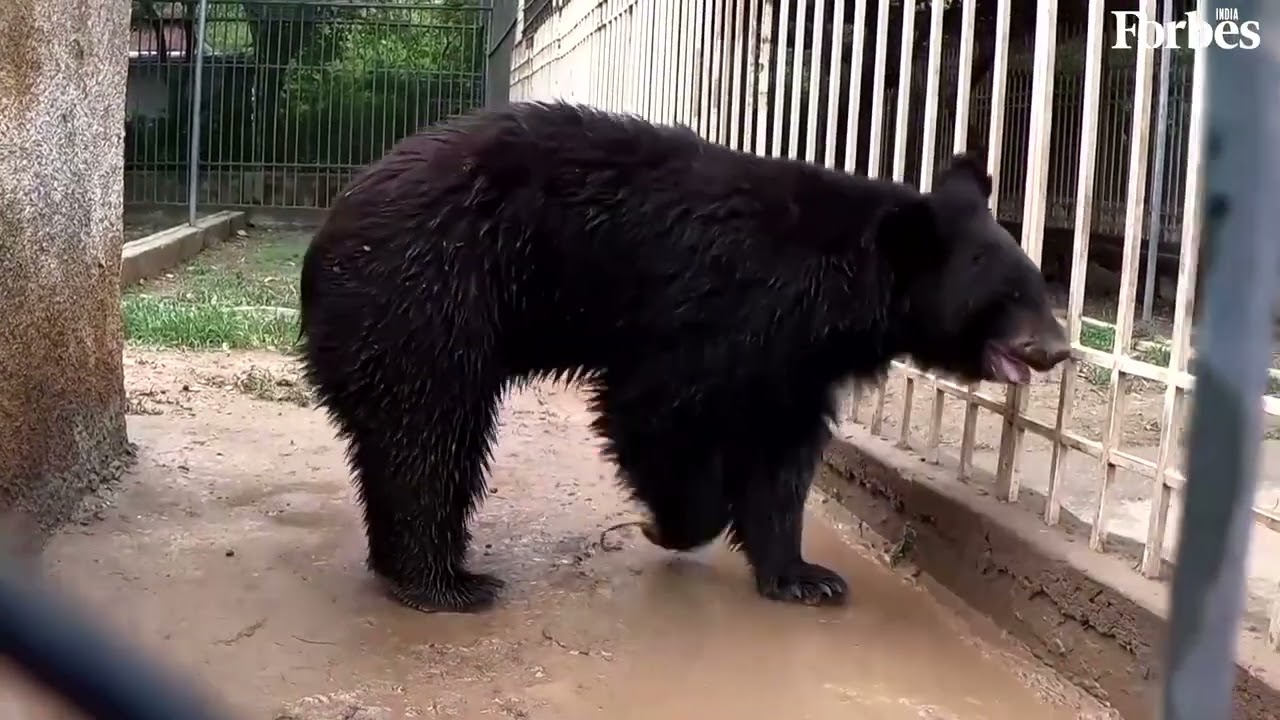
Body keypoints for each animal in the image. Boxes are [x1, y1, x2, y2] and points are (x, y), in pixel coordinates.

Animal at [297, 100, 1071, 614]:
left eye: (1038, 284)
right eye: (1007, 295)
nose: (1059, 349)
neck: (840, 287)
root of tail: (329, 234)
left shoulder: (795, 359)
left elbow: (781, 459)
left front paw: (806, 576)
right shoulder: (721, 311)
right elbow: (655, 410)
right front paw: (670, 524)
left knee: (404, 441)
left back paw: (406, 568)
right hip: (430, 300)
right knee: (430, 435)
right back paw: (447, 583)